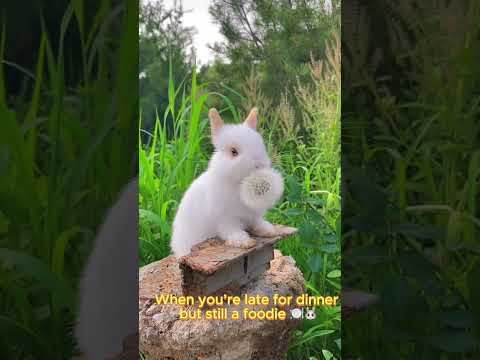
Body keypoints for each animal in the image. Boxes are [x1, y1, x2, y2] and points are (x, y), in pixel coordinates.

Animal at [170, 107, 280, 258]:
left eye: (260, 144)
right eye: (233, 152)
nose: (259, 164)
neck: (239, 186)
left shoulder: (253, 215)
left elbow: (257, 223)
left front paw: (269, 230)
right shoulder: (225, 219)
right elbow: (232, 231)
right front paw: (244, 242)